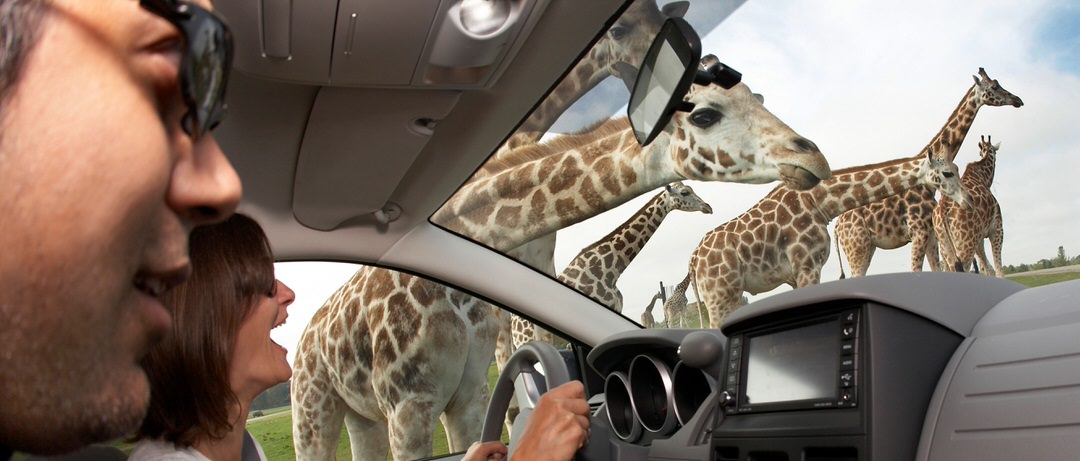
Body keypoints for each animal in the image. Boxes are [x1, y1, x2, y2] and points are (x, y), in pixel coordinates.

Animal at [291, 73, 829, 459]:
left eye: (758, 97)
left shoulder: (465, 398)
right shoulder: (409, 408)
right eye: (704, 115)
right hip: (313, 412)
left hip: (364, 415)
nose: (815, 157)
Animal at [682, 148, 972, 328]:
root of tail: (694, 259)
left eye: (958, 169)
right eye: (948, 173)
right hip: (719, 296)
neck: (821, 204)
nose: (967, 199)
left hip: (727, 296)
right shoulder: (807, 266)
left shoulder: (797, 274)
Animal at [933, 135, 1006, 276]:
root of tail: (943, 209)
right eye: (995, 151)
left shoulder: (979, 238)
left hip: (945, 245)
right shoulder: (996, 228)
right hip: (964, 243)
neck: (984, 177)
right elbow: (998, 269)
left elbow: (987, 269)